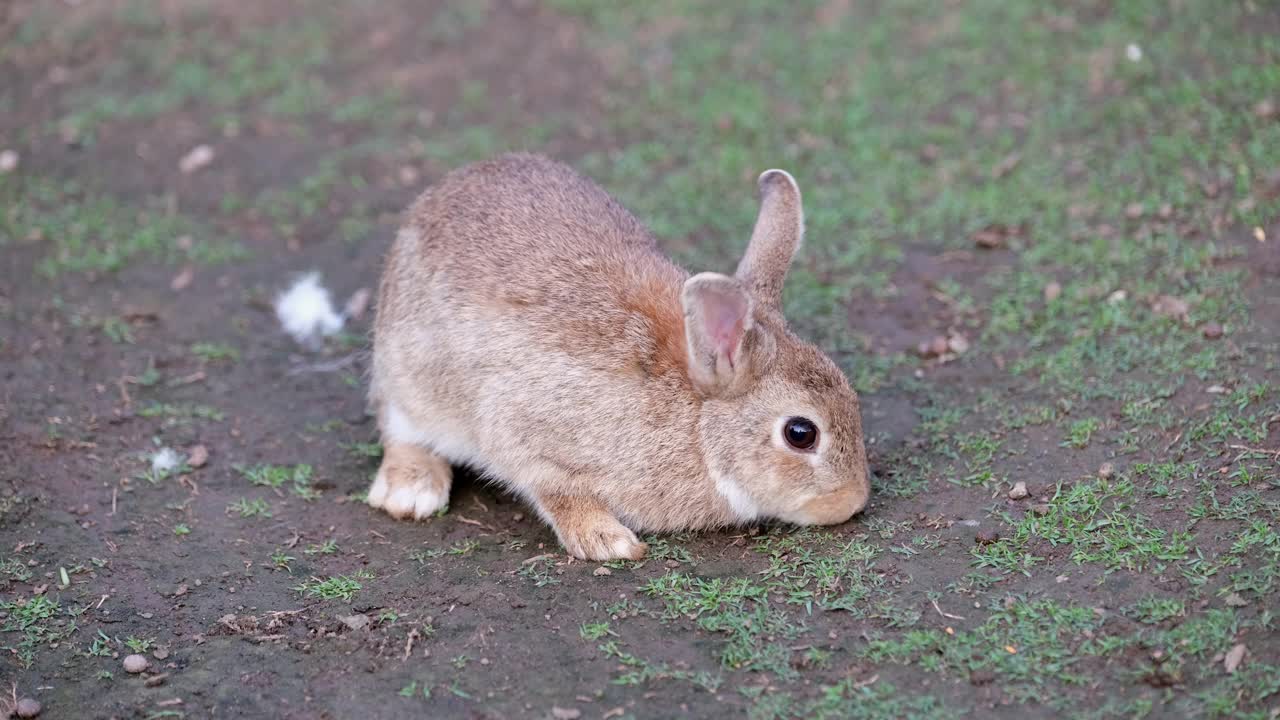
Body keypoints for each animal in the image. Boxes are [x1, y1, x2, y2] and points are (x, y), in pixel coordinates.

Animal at [368, 151, 870, 558]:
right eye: (800, 433)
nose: (853, 501)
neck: (697, 421)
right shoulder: (520, 425)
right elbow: (553, 487)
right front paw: (608, 541)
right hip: (409, 372)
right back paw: (412, 492)